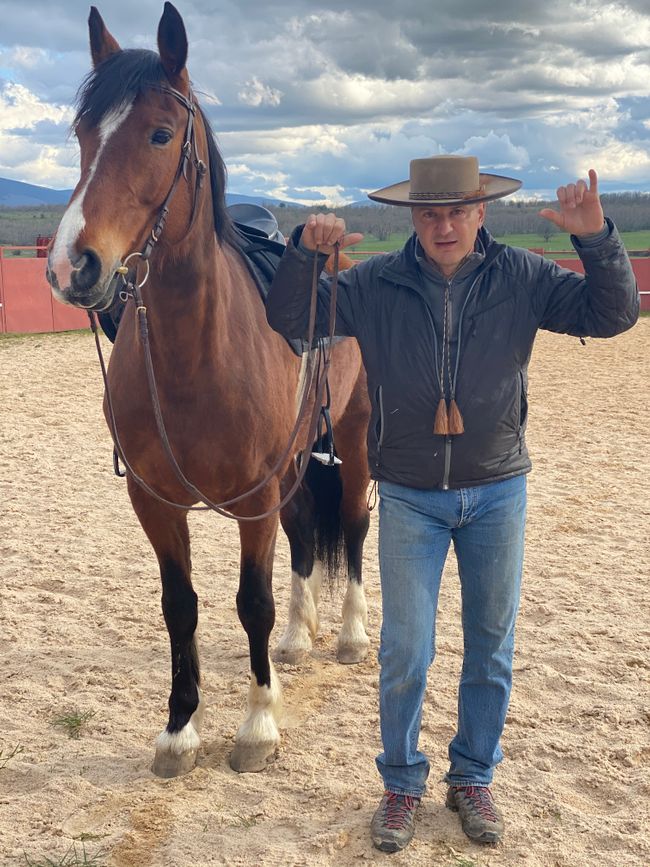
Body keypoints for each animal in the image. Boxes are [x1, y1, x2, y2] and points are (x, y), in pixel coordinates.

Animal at [46, 3, 370, 780]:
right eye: (82, 135)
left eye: (161, 133)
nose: (73, 266)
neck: (196, 354)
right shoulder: (156, 499)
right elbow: (180, 605)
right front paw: (179, 729)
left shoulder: (252, 497)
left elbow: (250, 601)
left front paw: (256, 726)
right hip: (293, 466)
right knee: (306, 533)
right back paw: (297, 640)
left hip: (353, 436)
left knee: (352, 523)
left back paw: (348, 634)